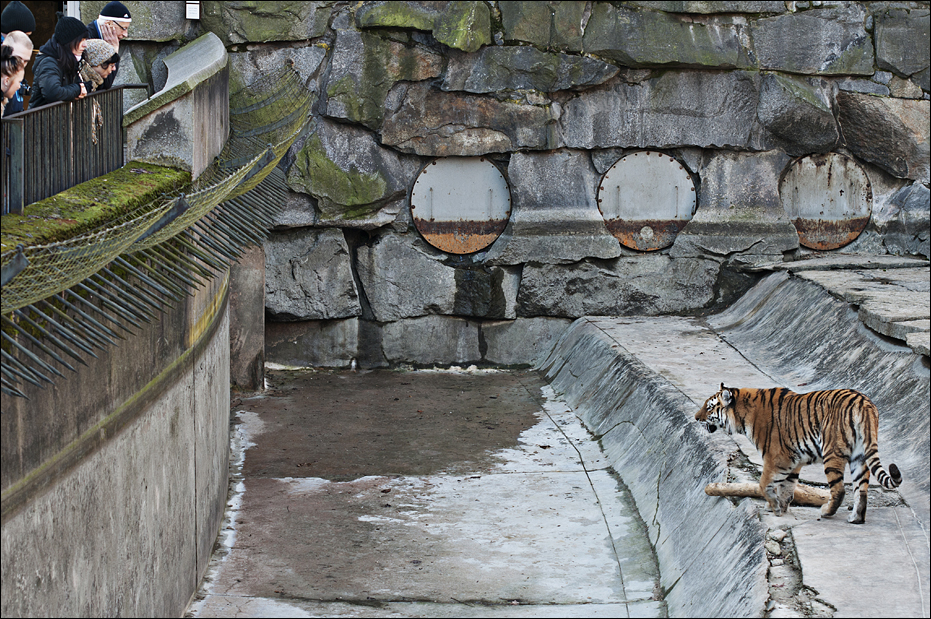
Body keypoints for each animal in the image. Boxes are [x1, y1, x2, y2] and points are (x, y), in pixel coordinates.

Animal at [695, 384, 901, 524]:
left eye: (709, 407)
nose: (696, 418)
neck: (741, 415)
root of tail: (864, 403)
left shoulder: (775, 457)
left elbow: (764, 484)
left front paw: (775, 507)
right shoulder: (793, 460)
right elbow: (787, 486)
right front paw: (780, 506)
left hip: (832, 452)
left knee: (839, 490)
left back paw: (826, 511)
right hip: (859, 455)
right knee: (862, 489)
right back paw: (856, 518)